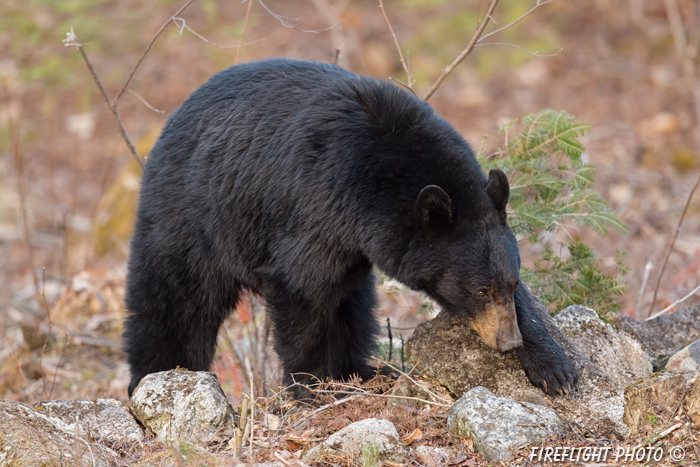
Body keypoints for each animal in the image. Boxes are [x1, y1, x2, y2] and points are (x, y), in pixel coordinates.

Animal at [123, 56, 576, 396]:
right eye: (479, 290)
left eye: (509, 284)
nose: (508, 342)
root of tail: (171, 122)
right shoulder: (315, 206)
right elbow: (301, 291)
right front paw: (312, 386)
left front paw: (555, 367)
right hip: (190, 218)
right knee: (173, 303)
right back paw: (159, 375)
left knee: (353, 307)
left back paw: (366, 371)